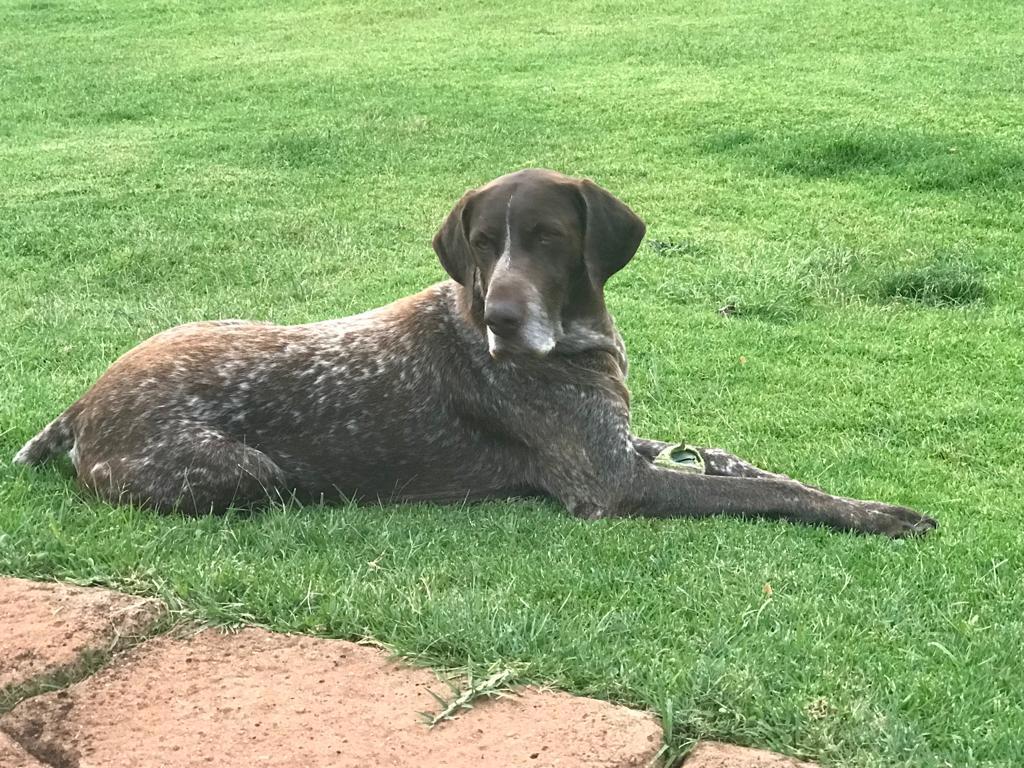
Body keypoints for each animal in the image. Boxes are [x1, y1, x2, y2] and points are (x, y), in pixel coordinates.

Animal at [12, 171, 937, 536]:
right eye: (485, 244)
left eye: (550, 238)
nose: (500, 315)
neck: (576, 349)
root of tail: (85, 404)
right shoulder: (611, 482)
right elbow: (769, 495)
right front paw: (876, 516)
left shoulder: (624, 442)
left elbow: (746, 468)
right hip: (248, 472)